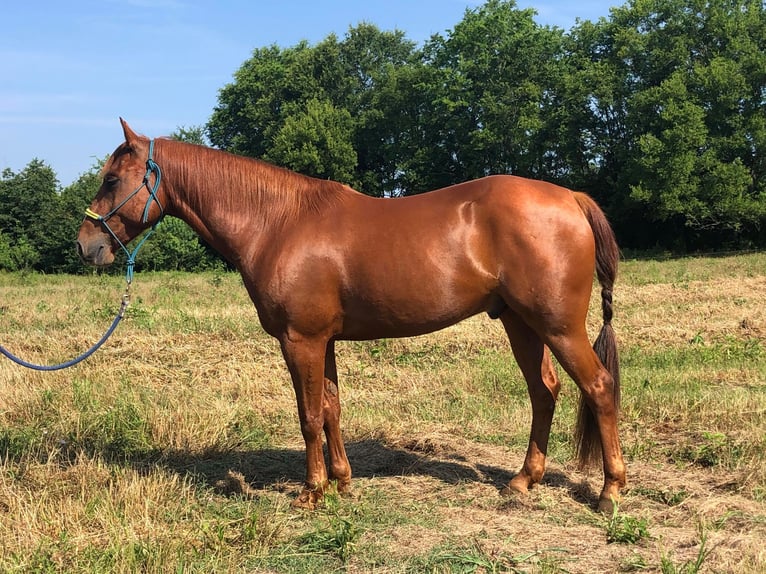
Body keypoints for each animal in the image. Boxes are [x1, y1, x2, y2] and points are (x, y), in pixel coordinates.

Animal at [76, 120, 632, 512]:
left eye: (112, 178)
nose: (86, 245)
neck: (277, 222)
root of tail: (571, 198)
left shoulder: (300, 340)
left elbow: (308, 416)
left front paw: (311, 492)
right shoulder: (324, 341)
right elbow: (331, 409)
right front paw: (343, 483)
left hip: (558, 326)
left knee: (598, 387)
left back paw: (610, 491)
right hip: (521, 323)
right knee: (545, 391)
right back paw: (522, 481)